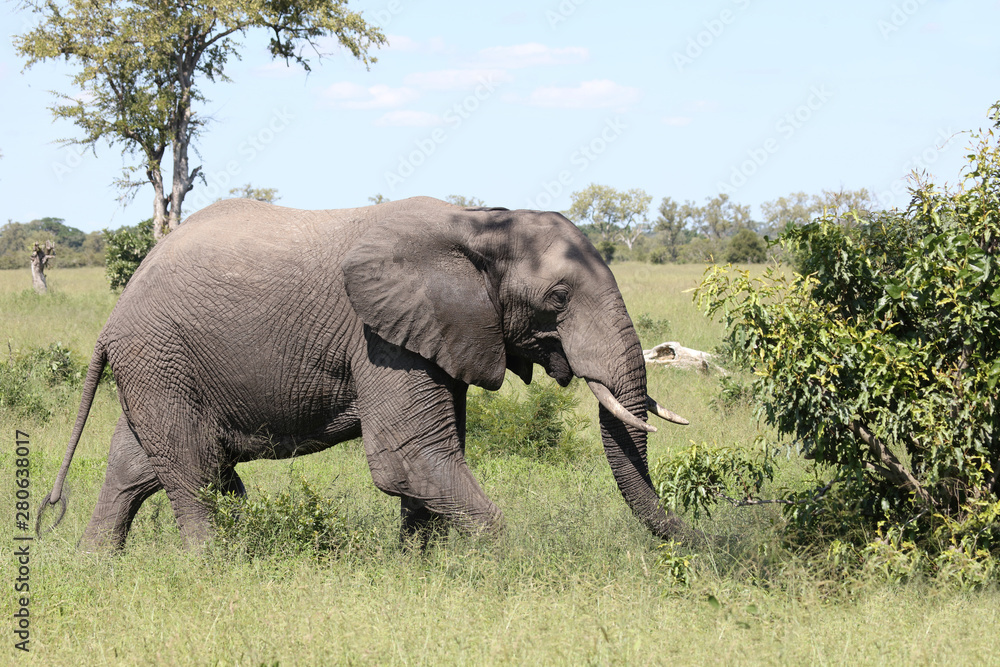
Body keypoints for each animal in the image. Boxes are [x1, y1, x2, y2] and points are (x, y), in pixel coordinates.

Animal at [41, 196, 688, 552]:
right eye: (558, 296)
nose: (704, 543)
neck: (478, 222)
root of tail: (112, 317)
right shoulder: (381, 338)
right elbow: (408, 457)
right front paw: (507, 567)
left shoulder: (438, 335)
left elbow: (429, 458)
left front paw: (418, 572)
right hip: (162, 357)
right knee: (195, 470)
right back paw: (214, 571)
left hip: (160, 366)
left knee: (137, 464)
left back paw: (95, 567)